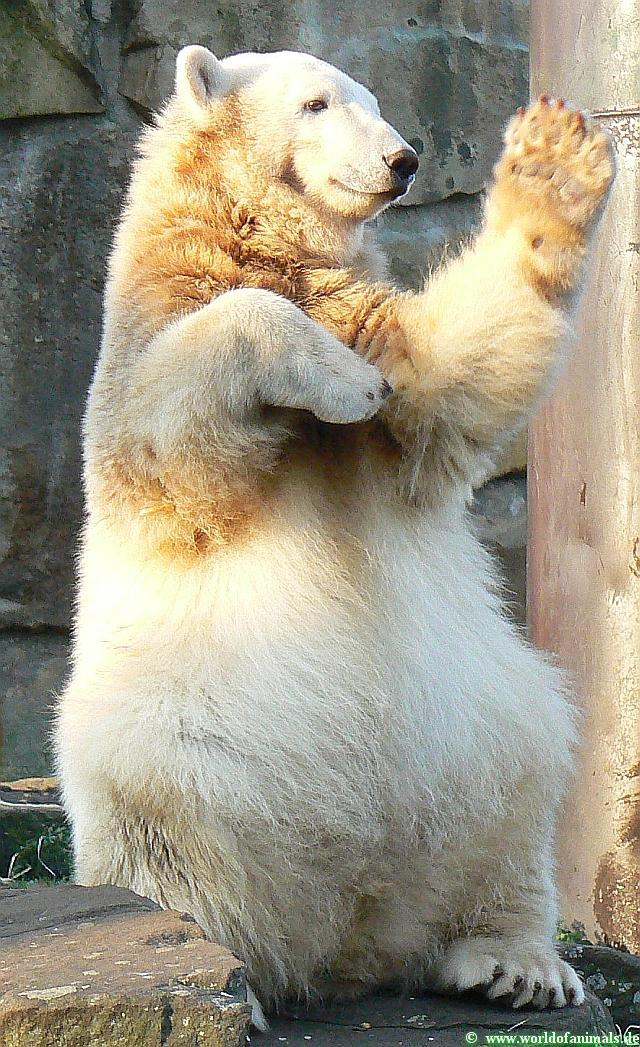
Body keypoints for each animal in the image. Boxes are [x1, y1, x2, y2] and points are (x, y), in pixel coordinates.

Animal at [54, 45, 614, 1029]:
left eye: (376, 100)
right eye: (317, 103)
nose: (404, 160)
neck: (266, 247)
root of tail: (351, 939)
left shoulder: (371, 329)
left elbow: (449, 373)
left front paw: (555, 160)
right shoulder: (149, 342)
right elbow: (172, 425)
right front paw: (343, 381)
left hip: (480, 731)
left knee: (524, 772)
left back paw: (512, 963)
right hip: (171, 759)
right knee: (164, 819)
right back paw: (232, 979)